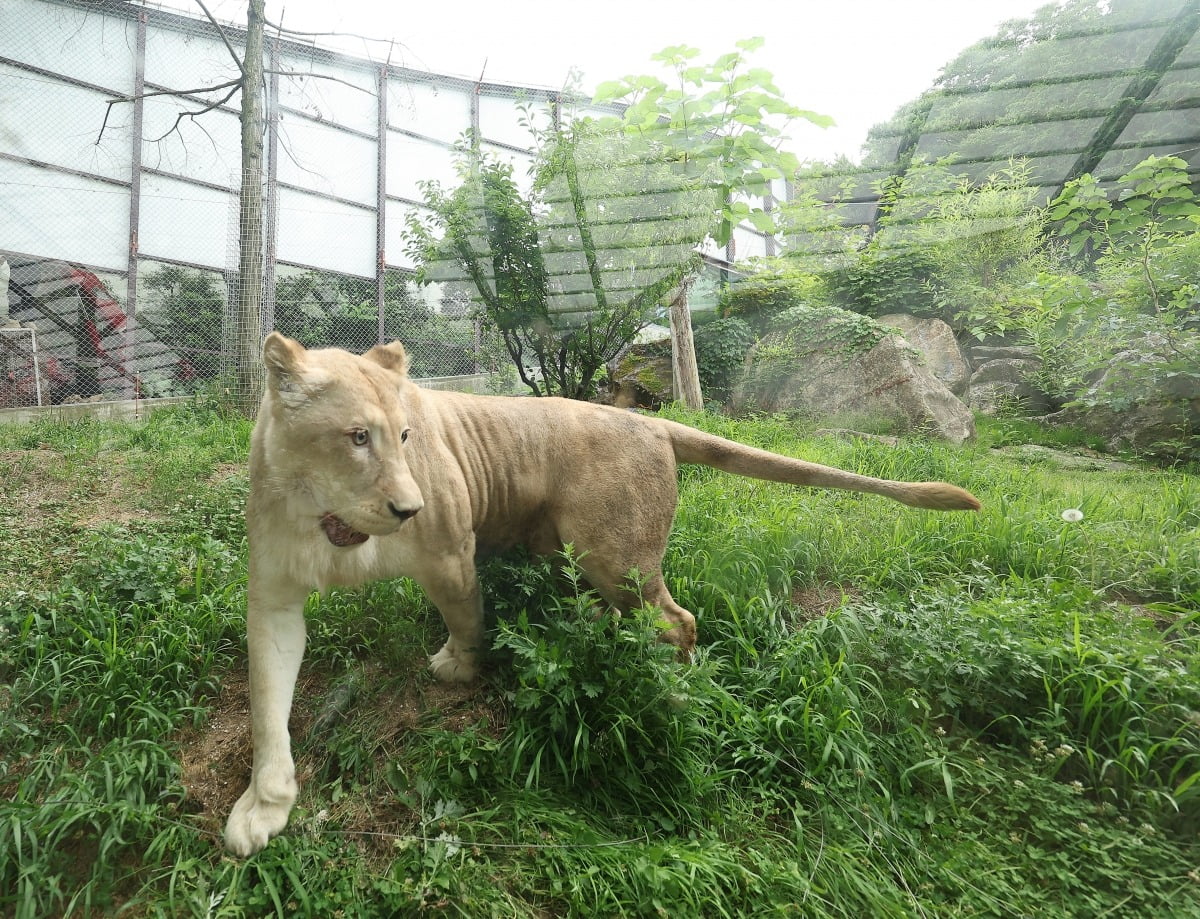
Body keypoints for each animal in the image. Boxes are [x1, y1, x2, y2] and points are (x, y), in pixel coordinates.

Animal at [220, 333, 979, 854]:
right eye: (357, 437)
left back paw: (671, 694)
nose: (408, 507)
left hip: (614, 555)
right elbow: (267, 704)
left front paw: (460, 667)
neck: (335, 522)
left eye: (405, 435)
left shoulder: (452, 551)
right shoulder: (273, 598)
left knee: (679, 620)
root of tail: (650, 419)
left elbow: (466, 617)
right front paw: (262, 809)